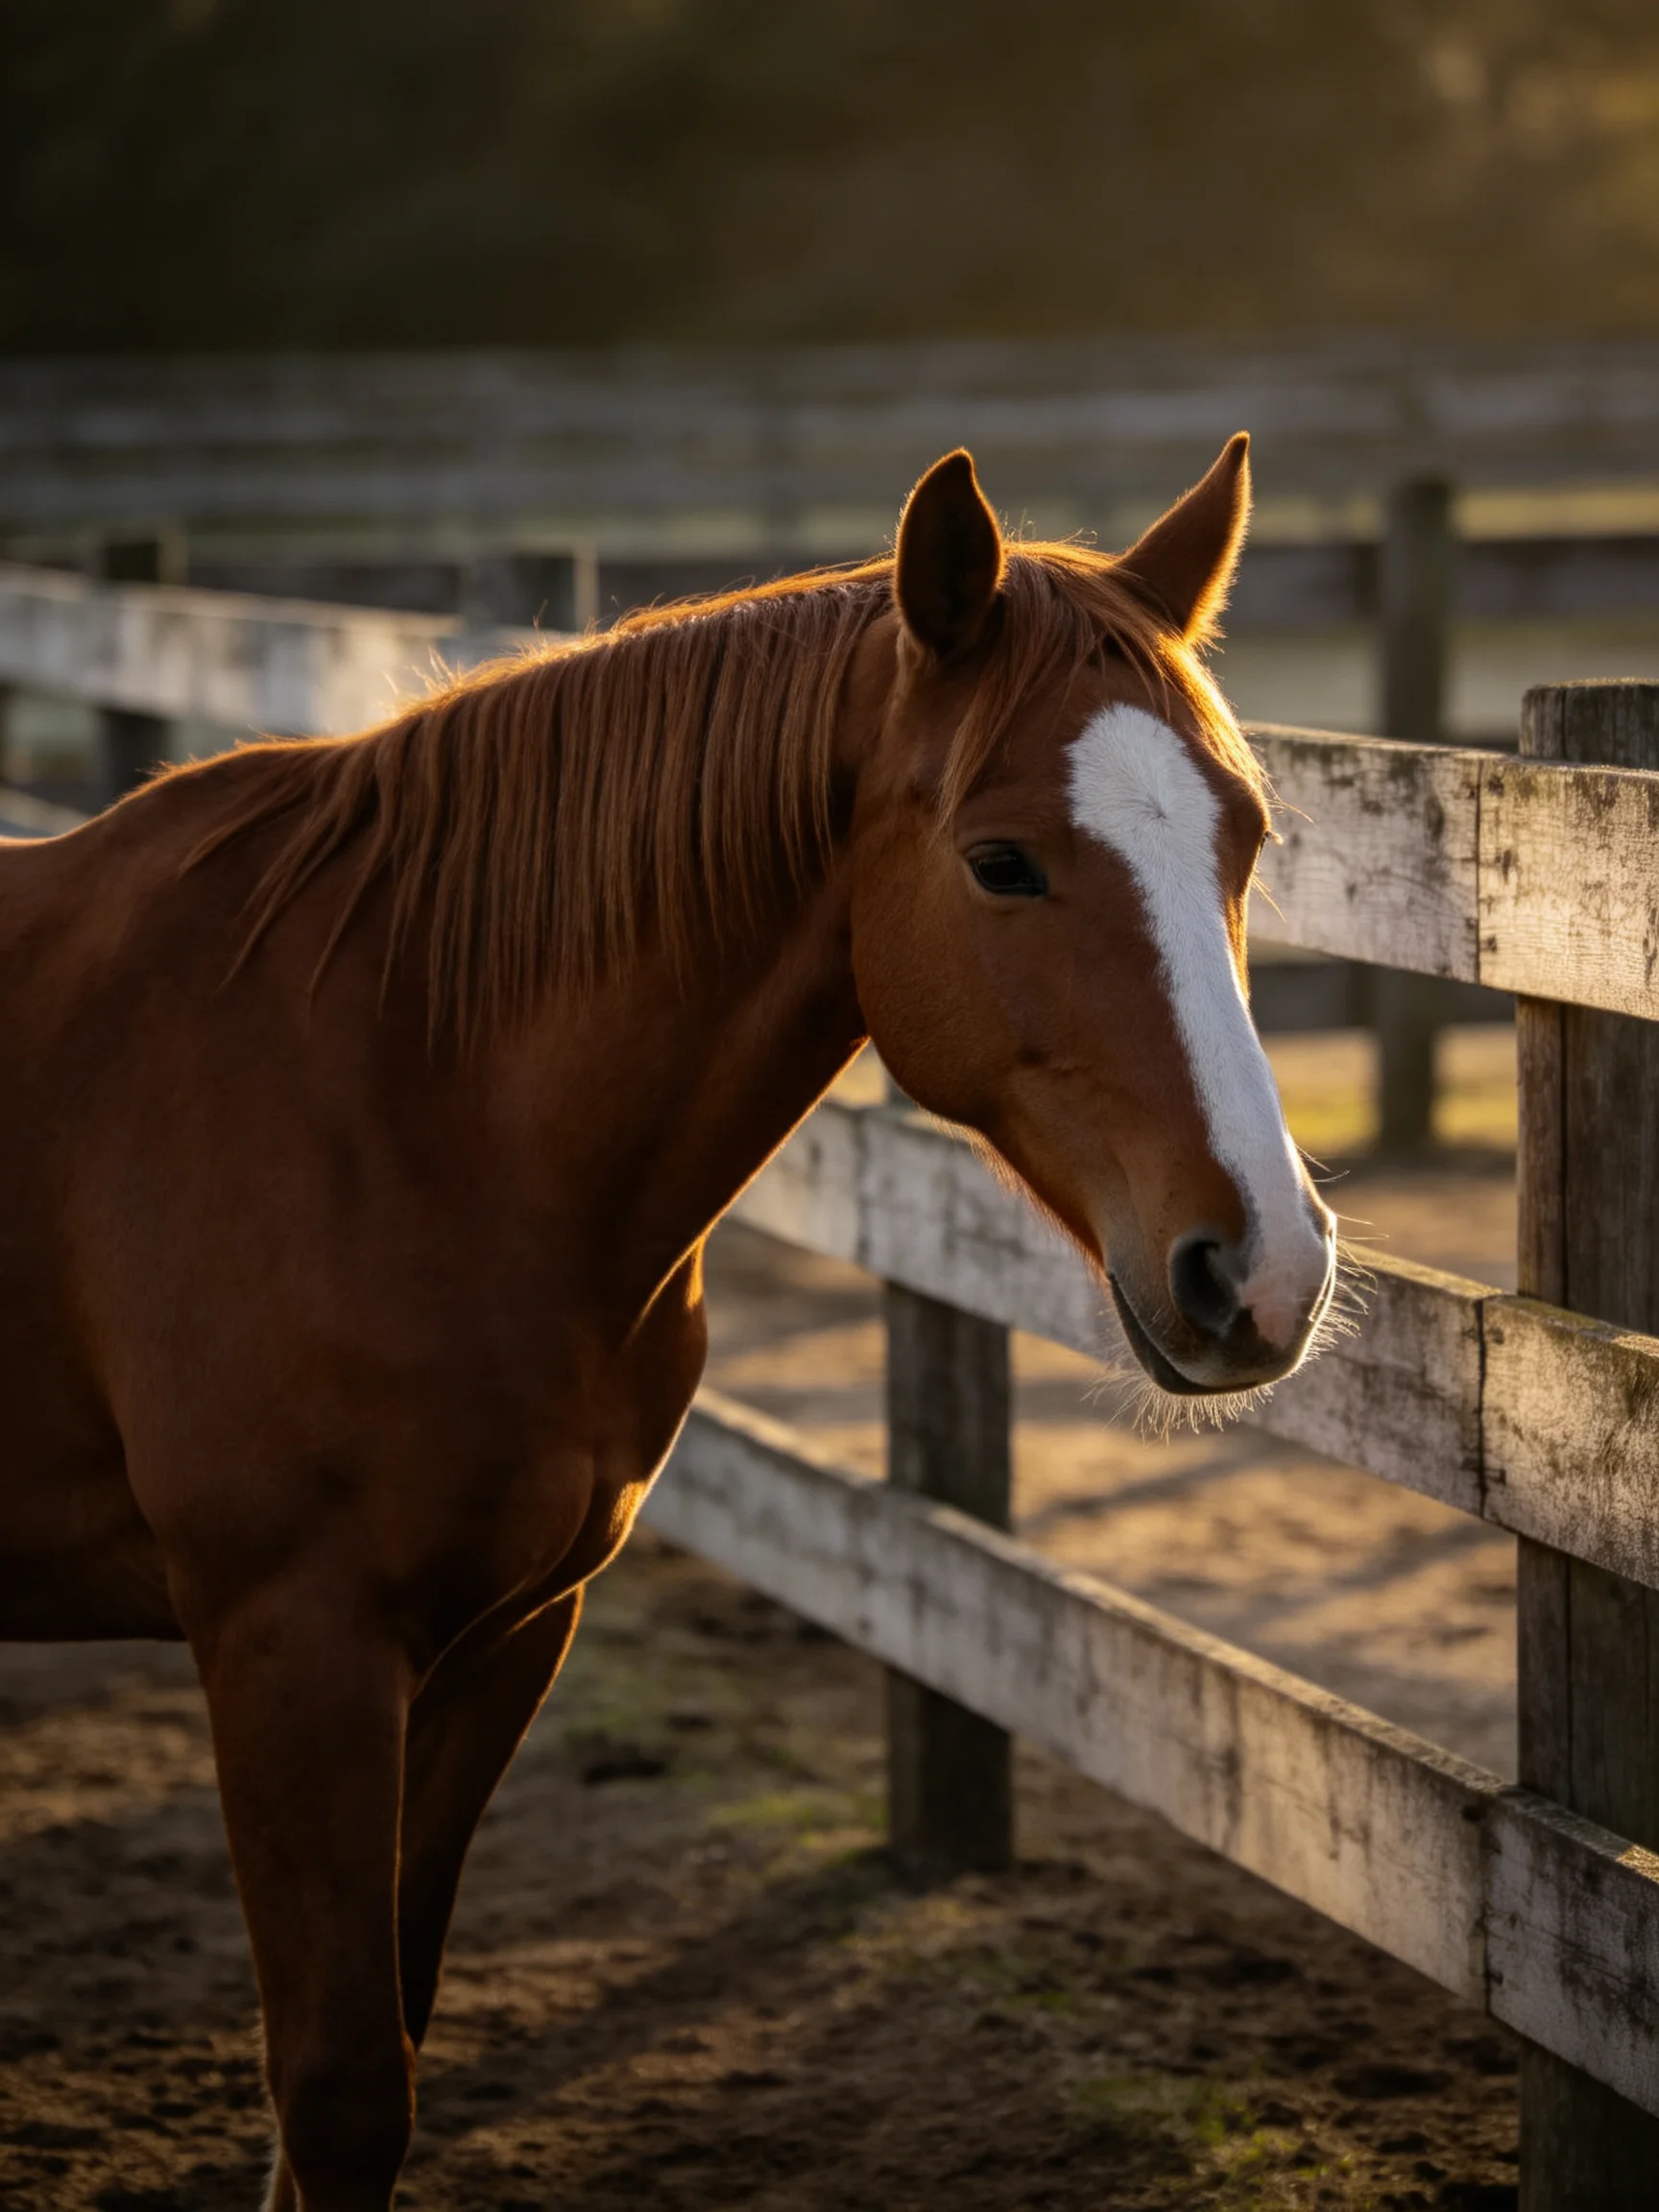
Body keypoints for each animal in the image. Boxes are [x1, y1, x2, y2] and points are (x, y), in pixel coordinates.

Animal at [0, 431, 1335, 2209]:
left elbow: (375, 2051)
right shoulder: (290, 1643)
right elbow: (337, 2084)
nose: (1263, 1269)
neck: (397, 1103)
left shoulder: (502, 1637)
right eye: (1001, 860)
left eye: (1242, 837)